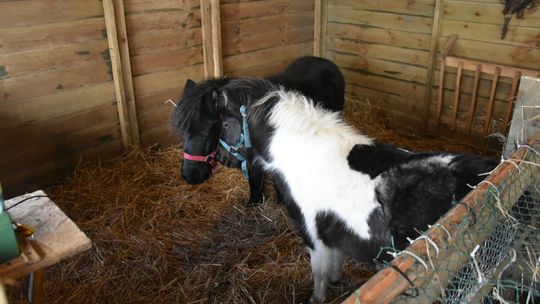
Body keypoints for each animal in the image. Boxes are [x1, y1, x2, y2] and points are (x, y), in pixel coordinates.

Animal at [171, 56, 344, 205]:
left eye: (204, 134)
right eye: (183, 133)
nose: (188, 176)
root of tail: (323, 60)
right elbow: (254, 181)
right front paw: (254, 203)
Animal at [216, 79, 498, 304]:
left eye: (226, 124)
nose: (220, 158)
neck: (306, 156)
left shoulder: (313, 235)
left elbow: (319, 274)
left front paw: (317, 298)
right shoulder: (334, 230)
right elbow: (336, 261)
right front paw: (337, 279)